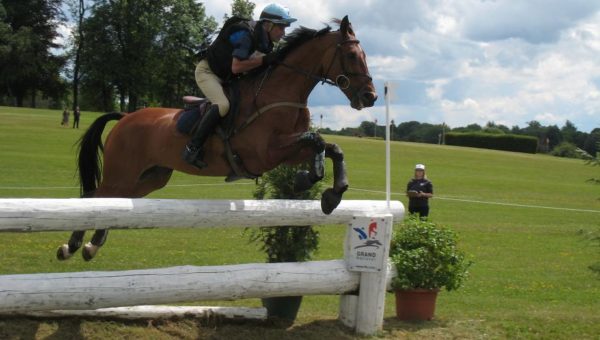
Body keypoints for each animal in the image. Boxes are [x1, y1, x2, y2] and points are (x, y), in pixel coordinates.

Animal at [56, 15, 376, 260]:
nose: (370, 96)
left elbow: (331, 147)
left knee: (115, 202)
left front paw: (330, 193)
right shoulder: (265, 153)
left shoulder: (287, 149)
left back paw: (92, 246)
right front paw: (309, 181)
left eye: (364, 56)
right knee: (95, 197)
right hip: (121, 171)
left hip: (150, 177)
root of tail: (126, 117)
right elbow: (317, 141)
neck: (281, 91)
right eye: (351, 55)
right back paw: (71, 245)